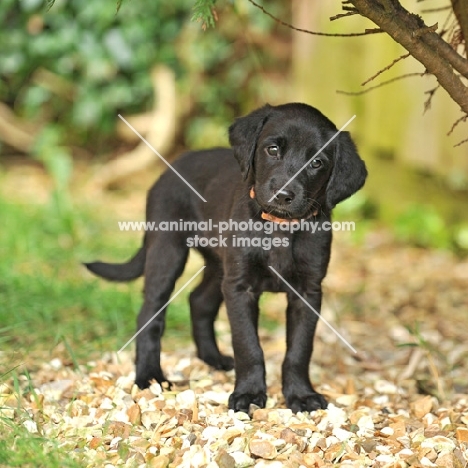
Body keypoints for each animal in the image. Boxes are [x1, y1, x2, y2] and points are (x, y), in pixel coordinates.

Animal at [86, 103, 368, 414]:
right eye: (272, 149)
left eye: (317, 163)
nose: (283, 195)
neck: (278, 228)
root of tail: (172, 167)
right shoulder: (239, 286)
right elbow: (247, 345)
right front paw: (249, 393)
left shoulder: (307, 291)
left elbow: (299, 349)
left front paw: (301, 395)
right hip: (167, 250)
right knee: (150, 313)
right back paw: (150, 376)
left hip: (218, 265)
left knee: (199, 301)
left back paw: (213, 358)